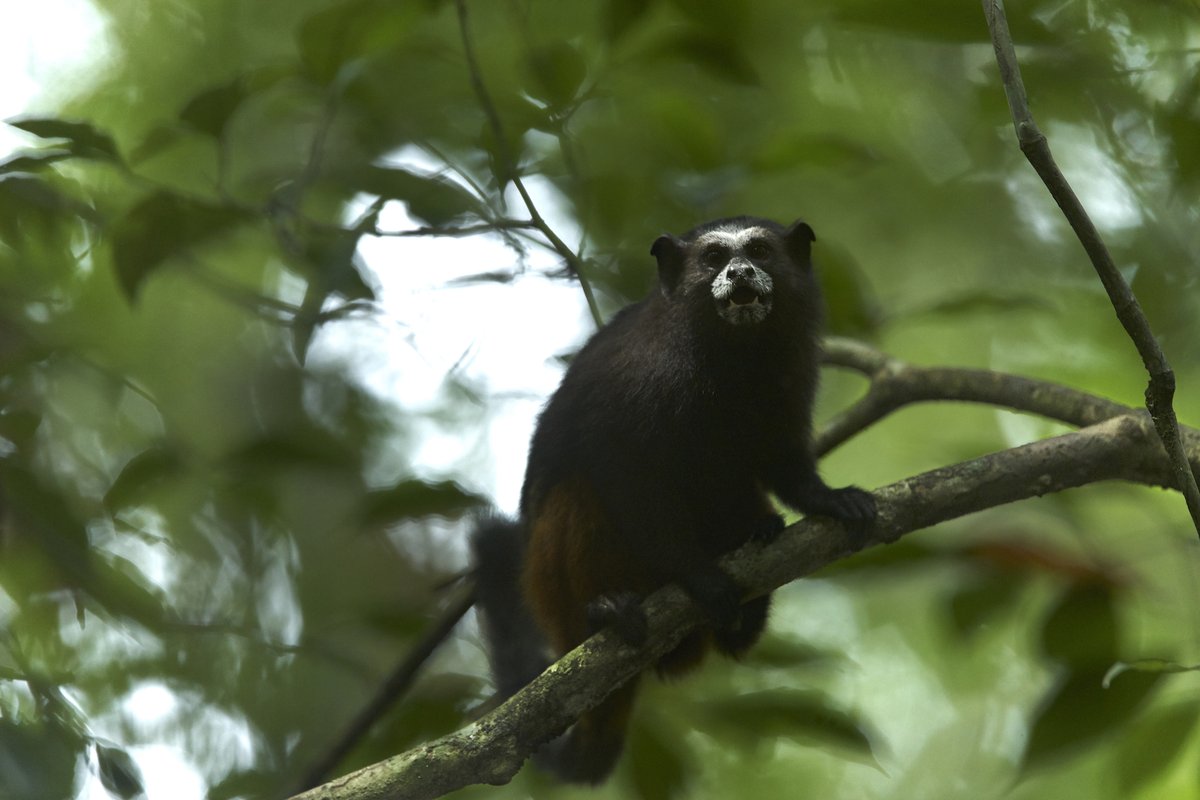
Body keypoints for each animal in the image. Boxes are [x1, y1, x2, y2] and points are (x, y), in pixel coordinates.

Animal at [471, 216, 876, 784]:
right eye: (713, 258)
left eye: (759, 251)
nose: (740, 272)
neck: (733, 357)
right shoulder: (643, 381)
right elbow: (623, 473)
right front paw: (698, 577)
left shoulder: (790, 373)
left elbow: (782, 460)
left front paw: (827, 500)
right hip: (554, 592)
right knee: (576, 491)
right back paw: (606, 614)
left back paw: (749, 592)